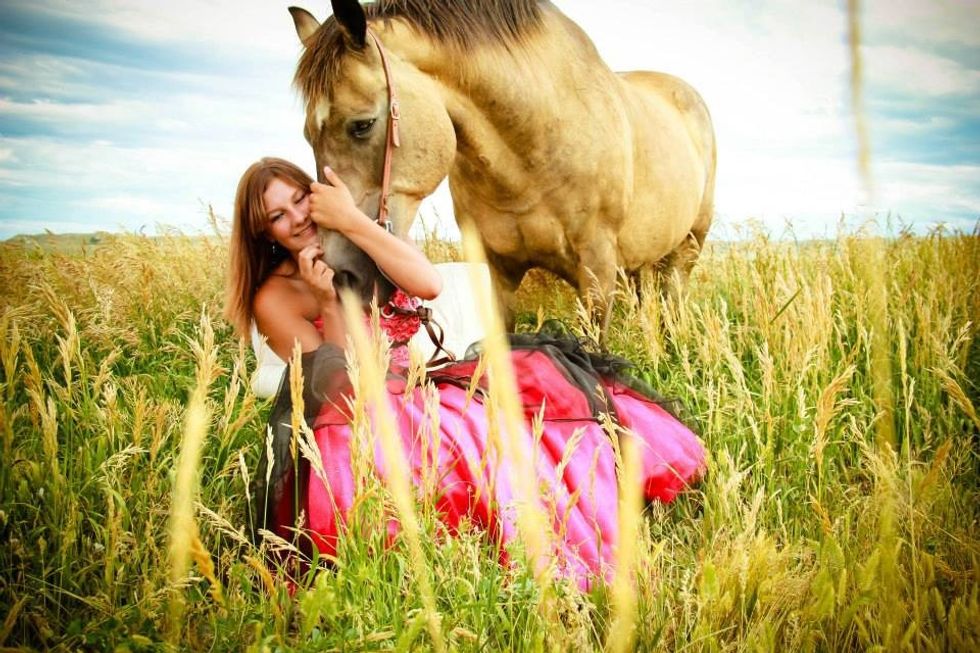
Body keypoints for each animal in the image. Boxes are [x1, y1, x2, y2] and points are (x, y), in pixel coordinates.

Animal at [288, 0, 716, 330]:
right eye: (307, 136)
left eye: (361, 125)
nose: (341, 275)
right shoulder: (494, 270)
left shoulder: (597, 269)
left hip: (686, 250)